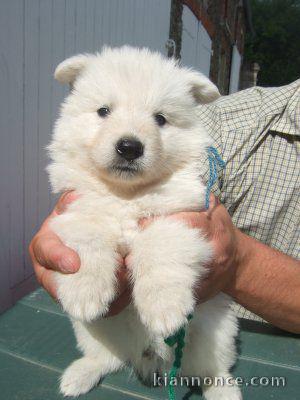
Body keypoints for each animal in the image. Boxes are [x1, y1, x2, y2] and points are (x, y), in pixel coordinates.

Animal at [48, 47, 241, 400]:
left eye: (160, 119)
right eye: (104, 111)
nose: (129, 146)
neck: (127, 195)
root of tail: (149, 357)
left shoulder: (181, 218)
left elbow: (158, 249)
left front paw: (163, 308)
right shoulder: (75, 209)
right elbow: (88, 236)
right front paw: (84, 292)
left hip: (215, 331)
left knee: (211, 370)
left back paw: (223, 390)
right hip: (95, 329)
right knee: (106, 357)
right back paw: (79, 375)